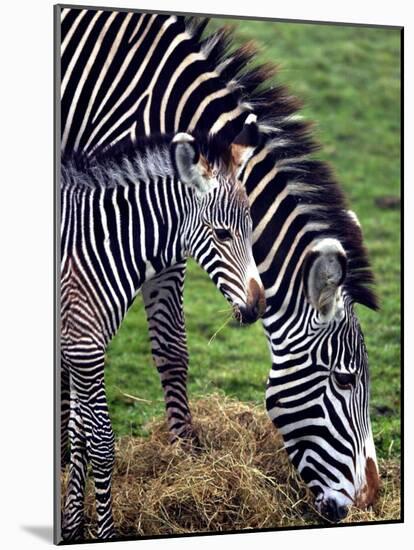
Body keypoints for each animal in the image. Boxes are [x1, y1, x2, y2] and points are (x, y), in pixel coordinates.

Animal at [60, 123, 266, 540]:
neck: (100, 244)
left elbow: (78, 435)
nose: (257, 307)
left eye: (252, 228)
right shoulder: (84, 348)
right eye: (222, 234)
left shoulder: (77, 347)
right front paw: (104, 533)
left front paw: (73, 527)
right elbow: (100, 443)